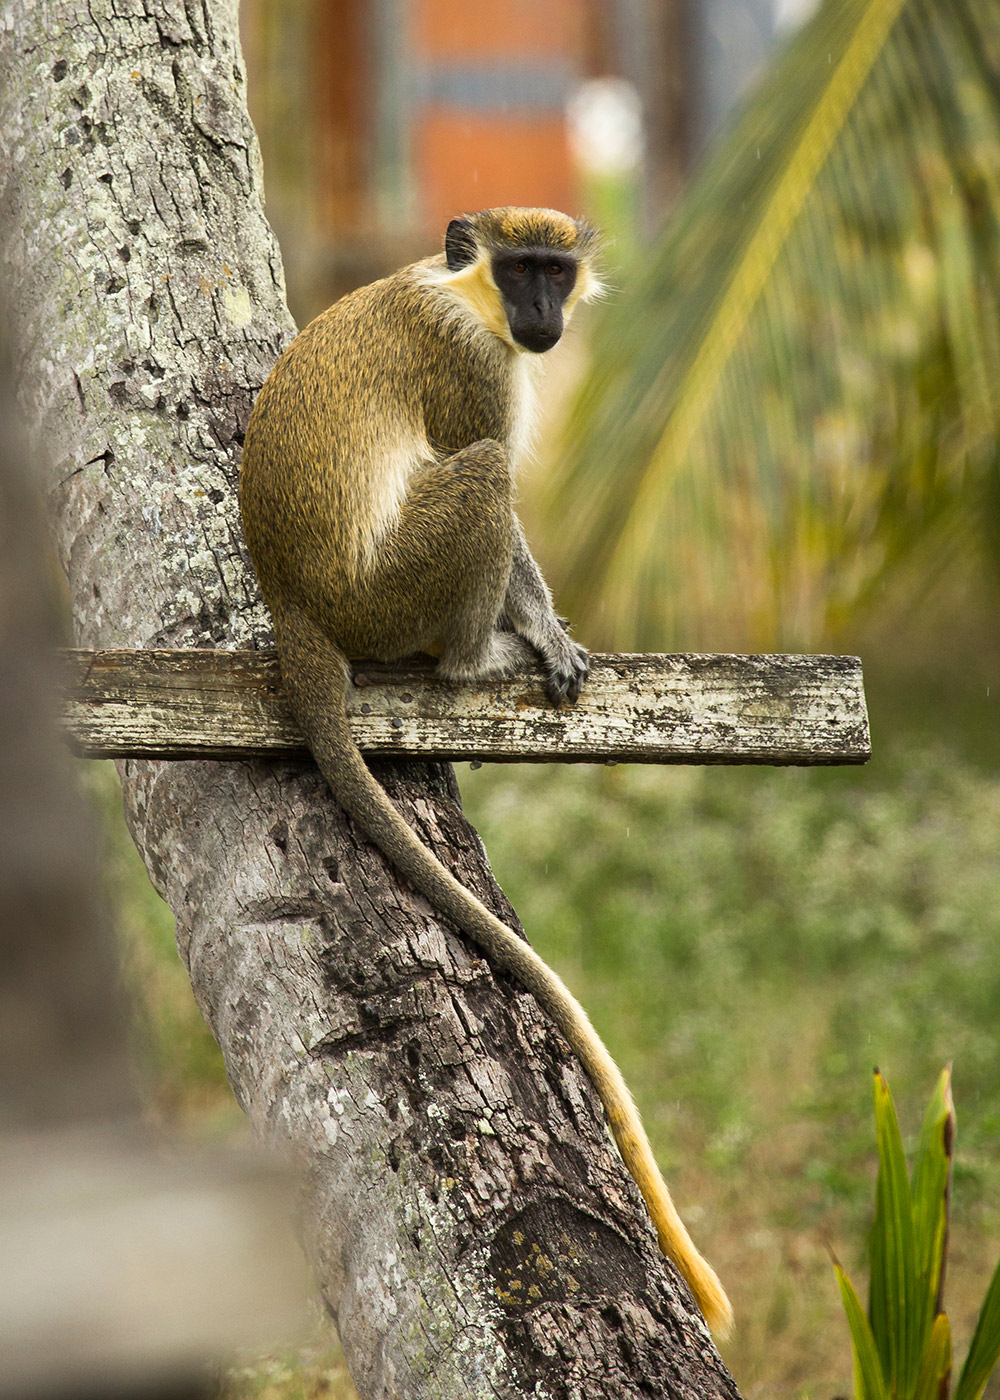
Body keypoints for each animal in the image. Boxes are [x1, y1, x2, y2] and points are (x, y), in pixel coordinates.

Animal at [239, 207, 733, 1338]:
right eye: (520, 271)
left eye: (554, 270)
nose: (543, 312)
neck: (458, 291)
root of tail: (296, 607)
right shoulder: (470, 364)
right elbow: (492, 476)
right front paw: (544, 631)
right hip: (391, 592)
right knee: (480, 480)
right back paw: (477, 657)